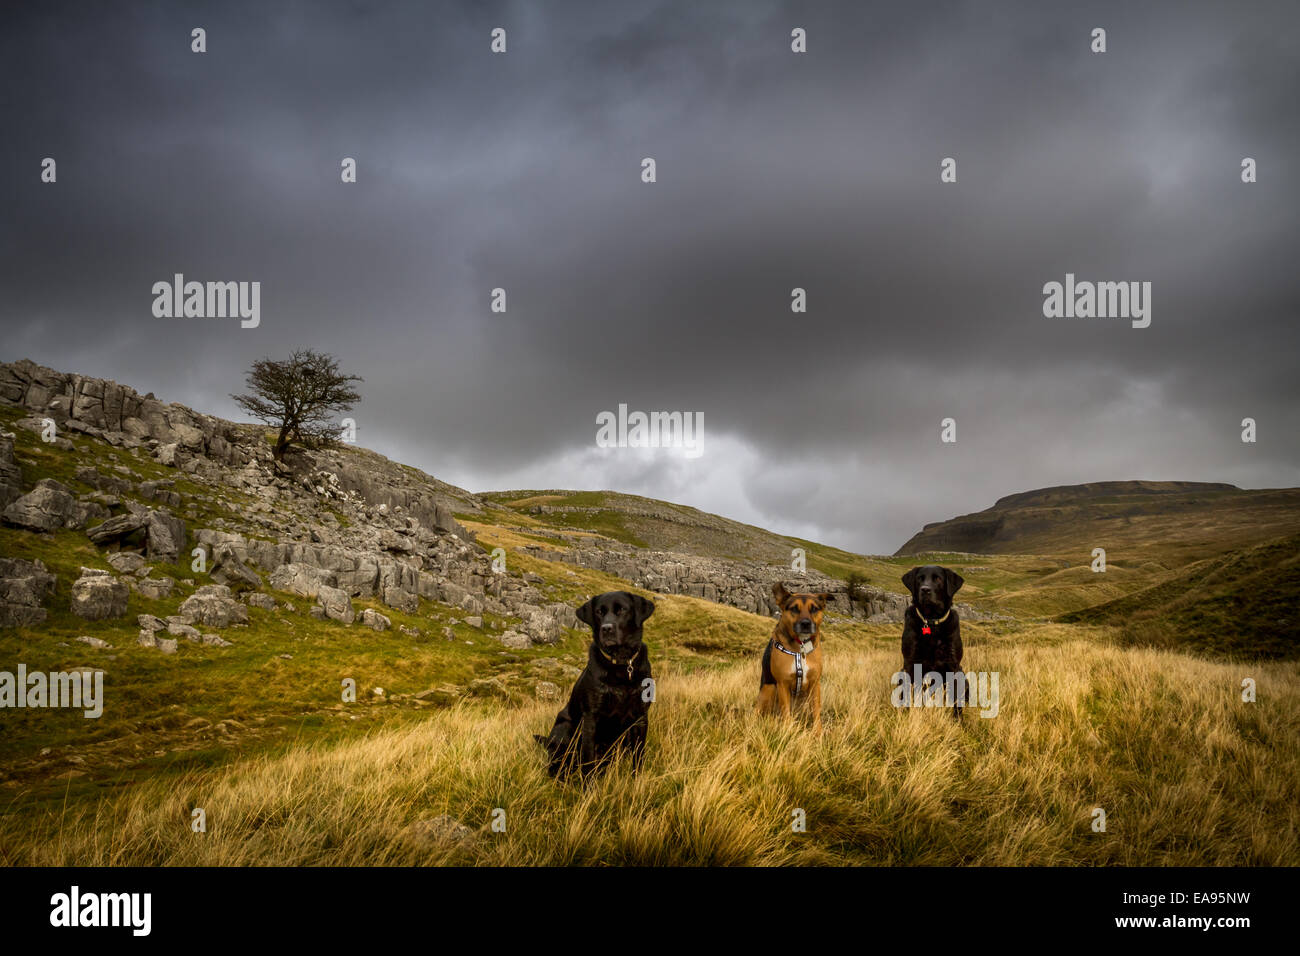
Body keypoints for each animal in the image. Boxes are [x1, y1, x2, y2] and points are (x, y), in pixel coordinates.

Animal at [533, 590, 655, 780]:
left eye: (622, 610)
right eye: (599, 612)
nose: (607, 628)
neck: (620, 664)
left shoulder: (640, 717)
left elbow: (638, 757)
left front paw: (637, 781)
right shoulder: (591, 718)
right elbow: (588, 761)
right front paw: (589, 787)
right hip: (565, 728)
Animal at [759, 582, 826, 733]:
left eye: (814, 609)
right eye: (794, 608)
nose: (806, 624)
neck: (801, 648)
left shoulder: (815, 684)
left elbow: (816, 711)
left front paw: (818, 733)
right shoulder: (782, 683)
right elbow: (785, 712)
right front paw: (787, 732)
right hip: (769, 688)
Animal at [904, 567, 967, 717]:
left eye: (938, 578)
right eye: (920, 578)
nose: (925, 589)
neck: (931, 621)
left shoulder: (953, 665)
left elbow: (955, 699)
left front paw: (958, 721)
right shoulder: (910, 663)